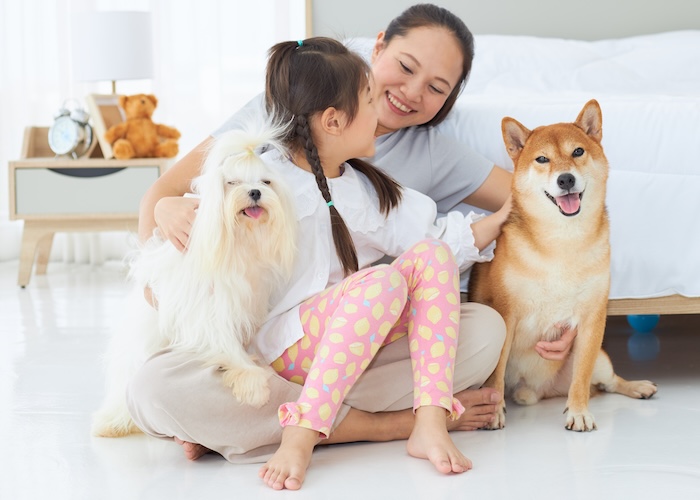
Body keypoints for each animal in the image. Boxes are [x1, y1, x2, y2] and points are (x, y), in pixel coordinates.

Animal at [91, 122, 298, 438]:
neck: (237, 241)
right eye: (232, 182)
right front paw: (253, 382)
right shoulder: (208, 313)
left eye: (266, 182)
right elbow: (226, 344)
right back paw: (113, 422)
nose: (254, 192)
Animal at [470, 100, 656, 430]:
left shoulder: (592, 319)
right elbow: (496, 373)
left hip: (601, 360)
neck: (562, 242)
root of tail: (537, 391)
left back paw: (637, 386)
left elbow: (580, 378)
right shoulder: (507, 313)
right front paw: (494, 412)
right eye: (542, 159)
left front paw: (579, 412)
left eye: (578, 151)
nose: (565, 179)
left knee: (608, 381)